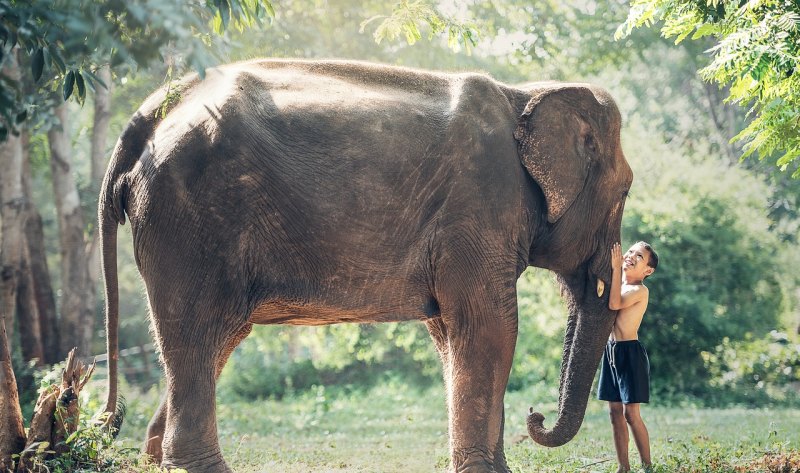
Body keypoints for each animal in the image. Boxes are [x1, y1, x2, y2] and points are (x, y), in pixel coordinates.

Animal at [98, 60, 632, 472]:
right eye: (626, 191)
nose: (536, 417)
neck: (525, 91)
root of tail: (150, 113)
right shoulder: (479, 206)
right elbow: (489, 327)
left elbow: (450, 333)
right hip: (189, 220)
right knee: (198, 329)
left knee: (216, 338)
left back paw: (155, 459)